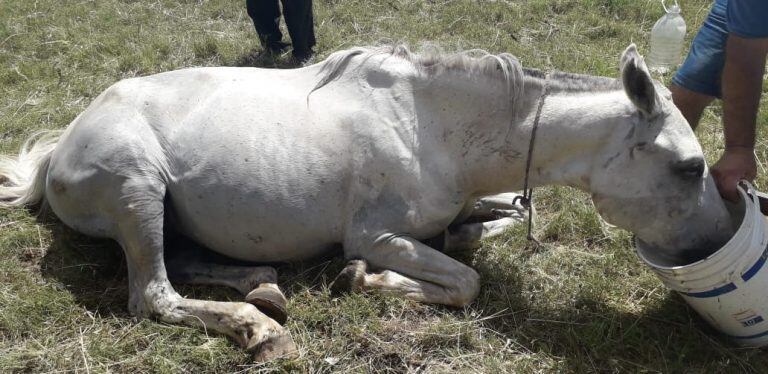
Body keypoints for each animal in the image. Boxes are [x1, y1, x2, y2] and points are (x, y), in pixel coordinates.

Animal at [0, 43, 732, 360]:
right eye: (690, 166)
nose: (711, 246)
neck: (434, 128)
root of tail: (61, 145)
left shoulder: (462, 212)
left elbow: (485, 230)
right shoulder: (377, 235)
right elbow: (464, 282)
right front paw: (362, 279)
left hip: (164, 212)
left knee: (183, 262)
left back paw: (263, 287)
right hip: (138, 190)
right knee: (151, 294)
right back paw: (256, 326)